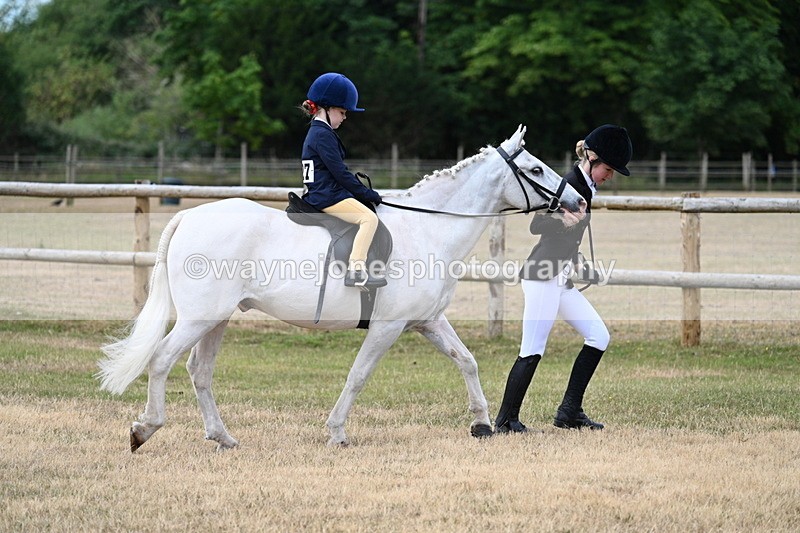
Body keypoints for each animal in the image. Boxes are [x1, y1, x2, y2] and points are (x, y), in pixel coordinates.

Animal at [97, 125, 587, 451]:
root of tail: (189, 215)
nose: (580, 201)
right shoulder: (388, 327)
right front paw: (336, 432)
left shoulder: (427, 321)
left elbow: (467, 362)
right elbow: (358, 376)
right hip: (201, 317)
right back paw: (144, 429)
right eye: (535, 167)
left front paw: (482, 425)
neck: (429, 229)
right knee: (162, 360)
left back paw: (223, 437)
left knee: (199, 371)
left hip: (217, 318)